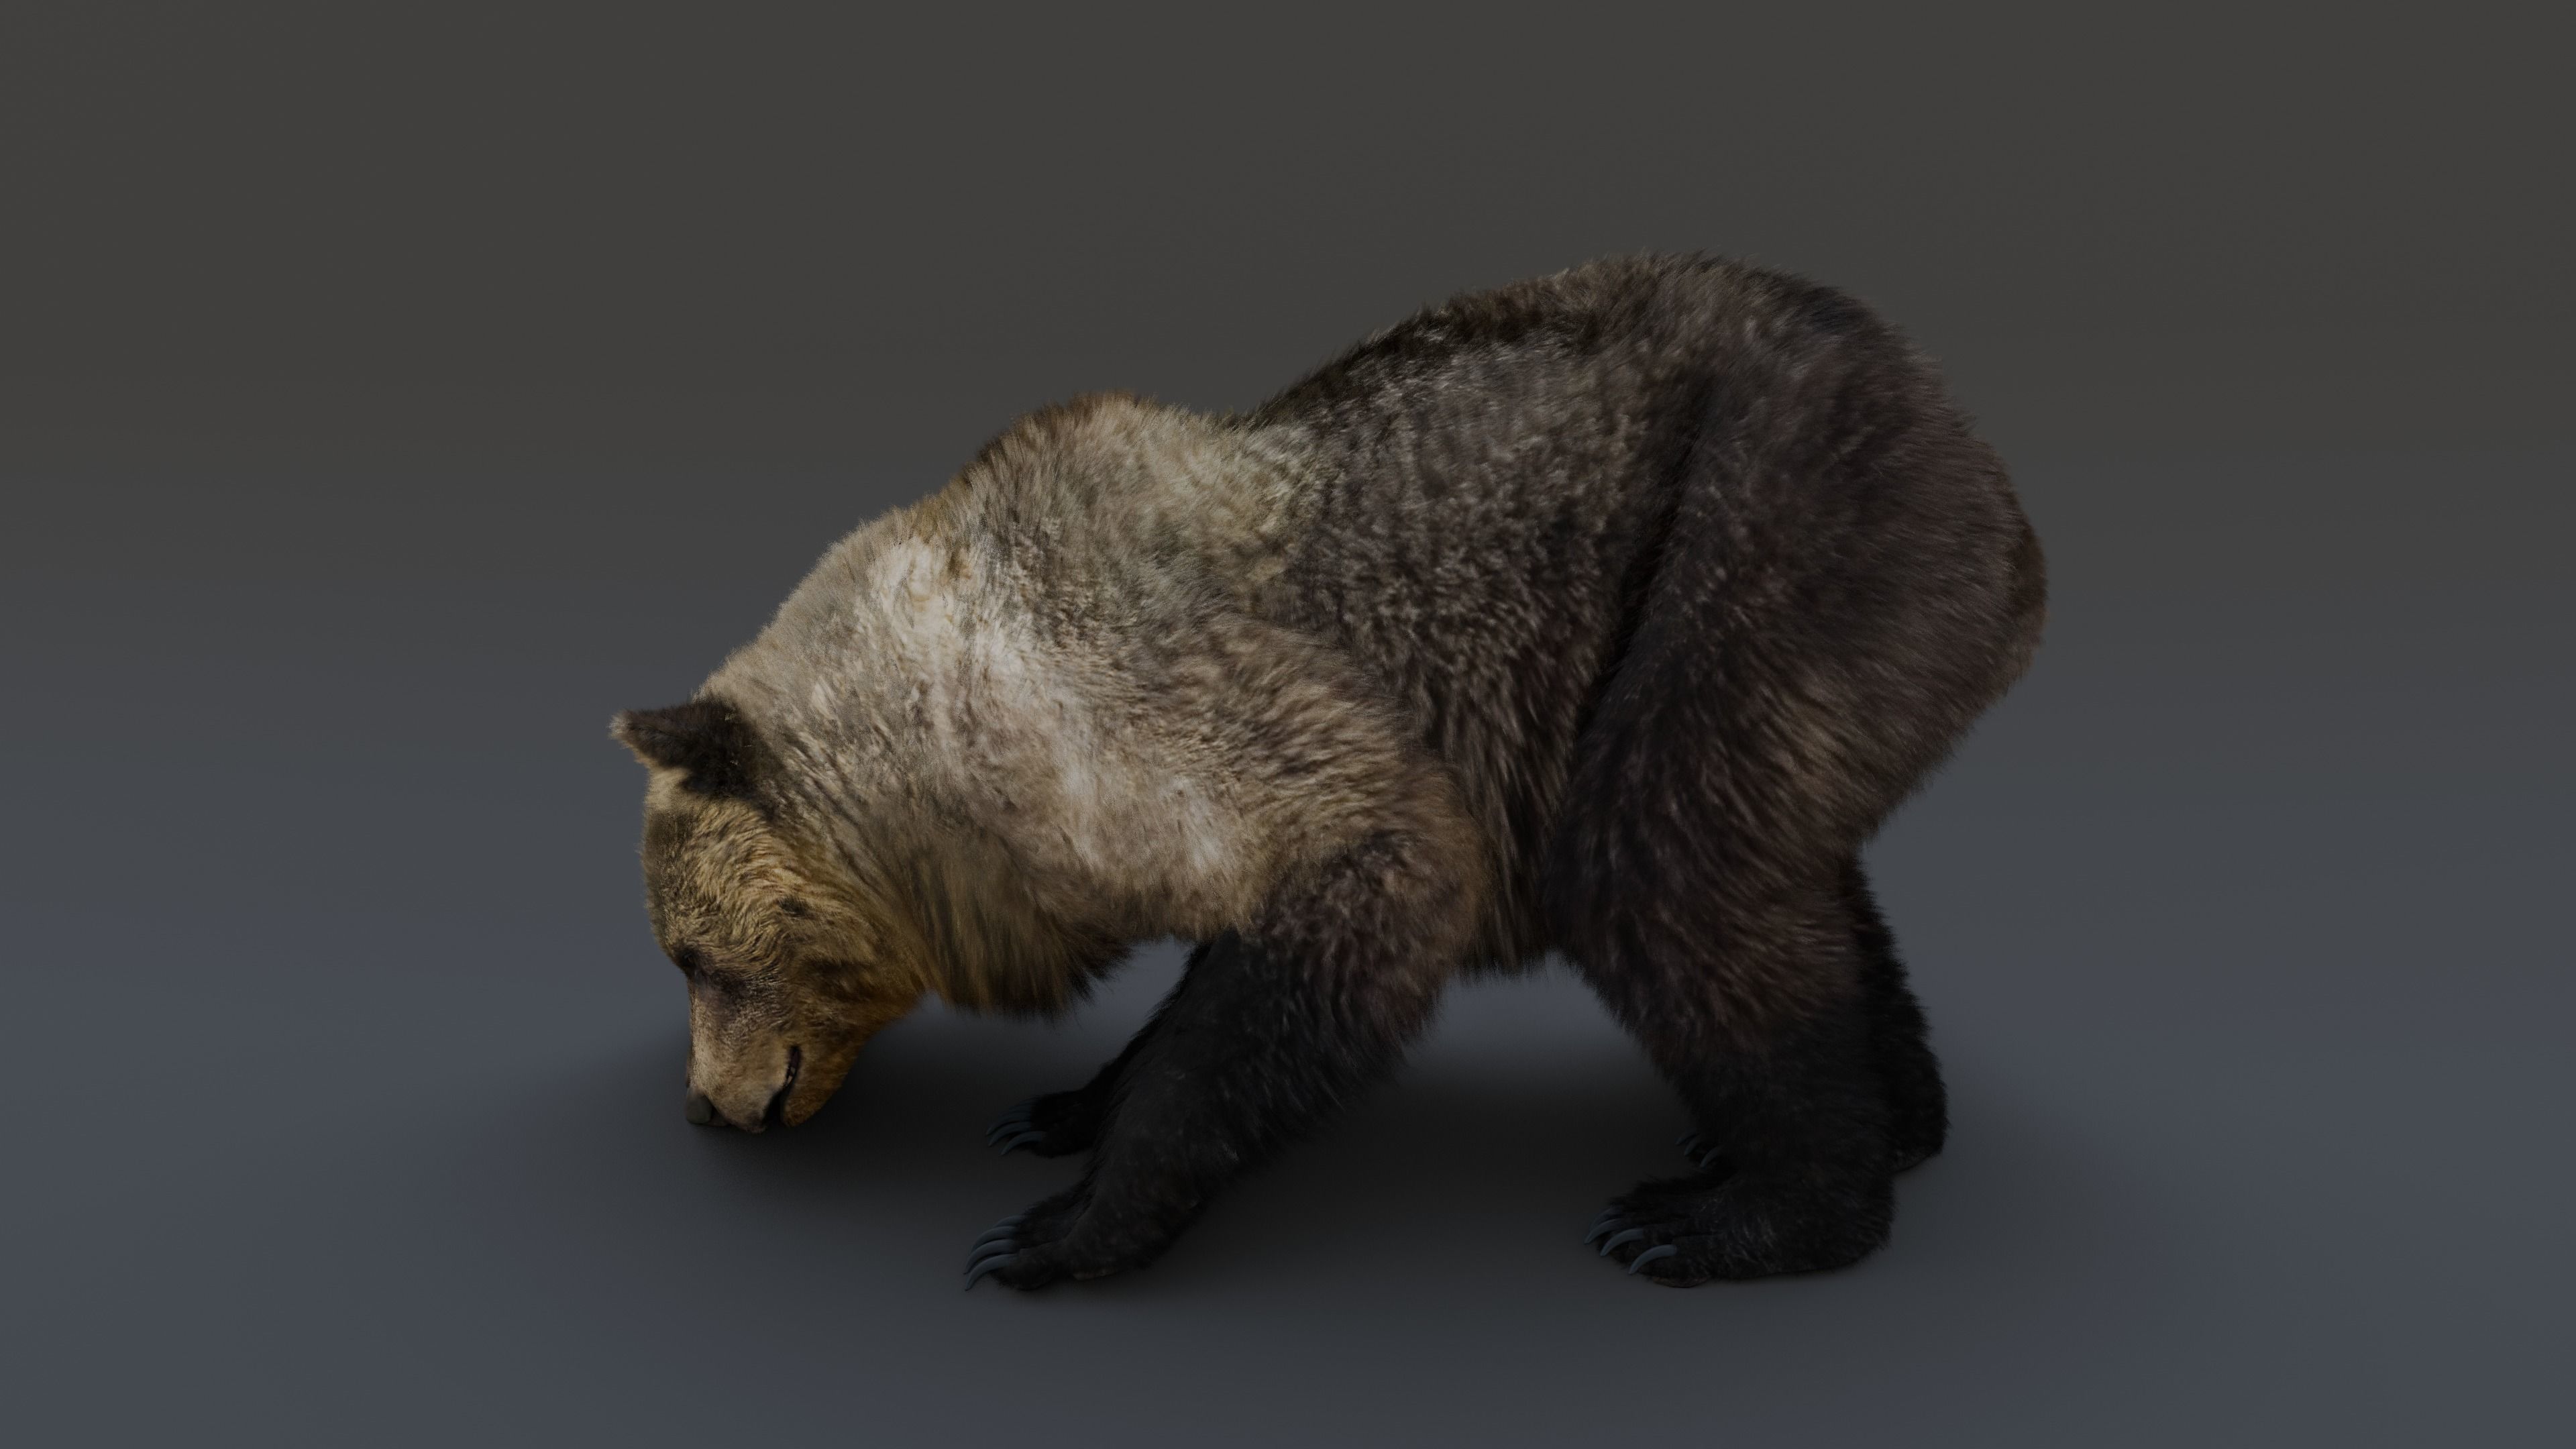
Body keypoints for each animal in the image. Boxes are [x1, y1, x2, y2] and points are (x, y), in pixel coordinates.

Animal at [611, 253, 2046, 1290]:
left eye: (694, 957)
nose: (704, 1109)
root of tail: (1999, 488)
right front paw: (1064, 1105)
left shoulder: (1169, 699)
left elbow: (1384, 868)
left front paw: (1057, 1229)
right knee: (1784, 860)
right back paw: (1890, 1123)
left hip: (1770, 527)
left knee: (1661, 862)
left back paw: (1741, 1212)